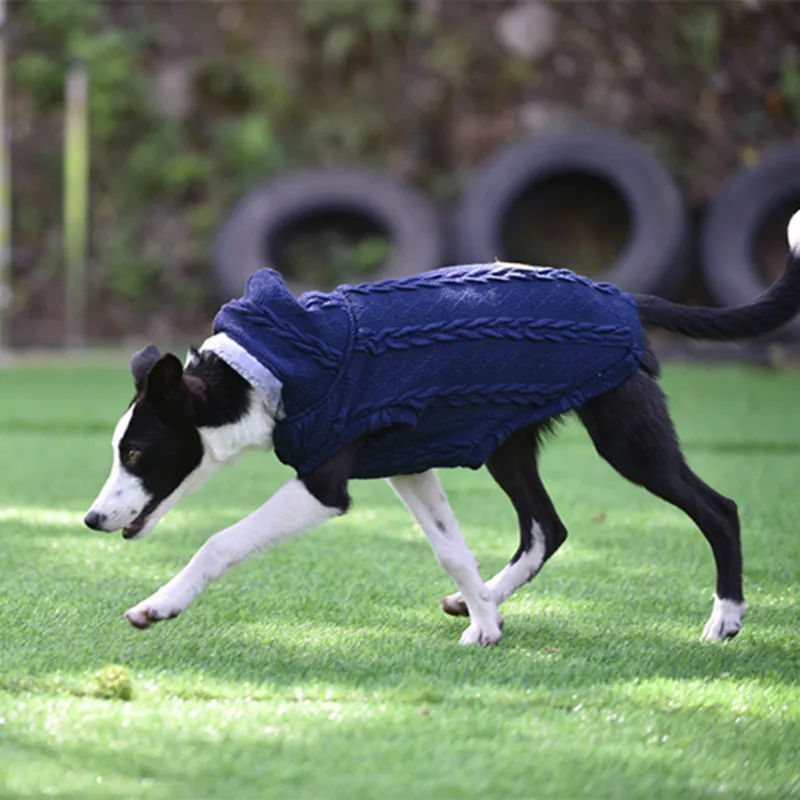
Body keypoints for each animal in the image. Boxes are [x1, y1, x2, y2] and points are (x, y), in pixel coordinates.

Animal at [84, 214, 796, 648]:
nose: (91, 520)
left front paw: (159, 605)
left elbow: (220, 542)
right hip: (508, 441)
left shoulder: (324, 485)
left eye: (137, 451)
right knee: (547, 528)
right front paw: (484, 623)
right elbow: (453, 549)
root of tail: (624, 298)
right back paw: (487, 601)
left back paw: (726, 617)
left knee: (718, 510)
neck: (261, 370)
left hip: (628, 437)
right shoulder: (409, 464)